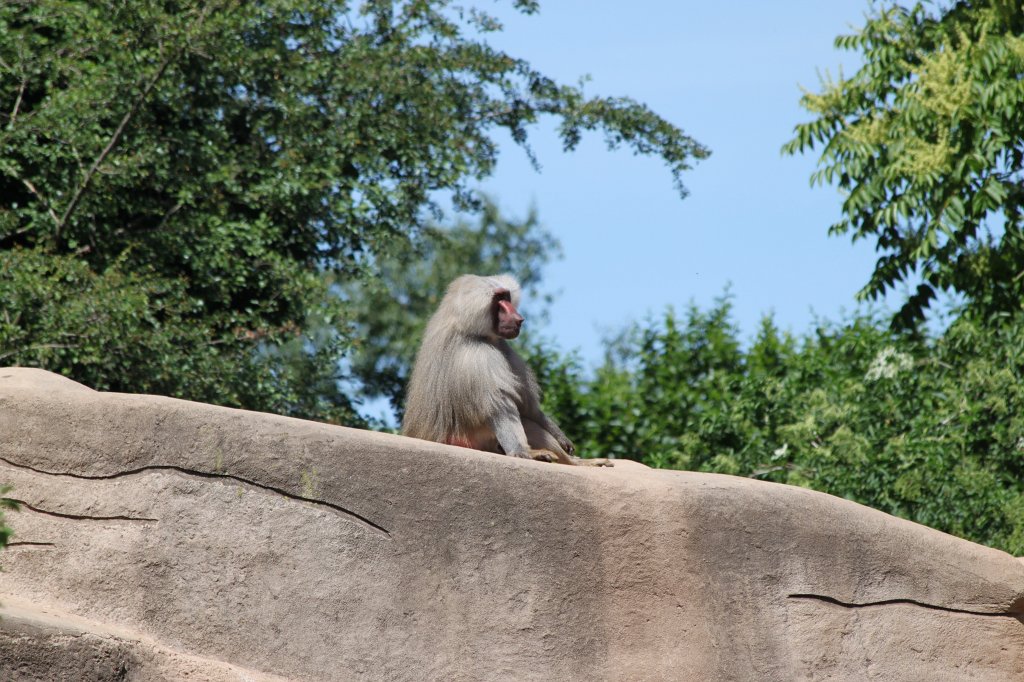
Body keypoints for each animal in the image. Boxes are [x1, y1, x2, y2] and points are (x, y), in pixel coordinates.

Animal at [402, 274, 610, 466]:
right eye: (498, 299)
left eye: (507, 296)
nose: (519, 319)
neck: (465, 325)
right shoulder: (480, 355)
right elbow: (500, 406)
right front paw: (523, 453)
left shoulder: (504, 348)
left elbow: (529, 408)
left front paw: (561, 437)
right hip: (473, 439)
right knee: (524, 423)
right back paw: (572, 462)